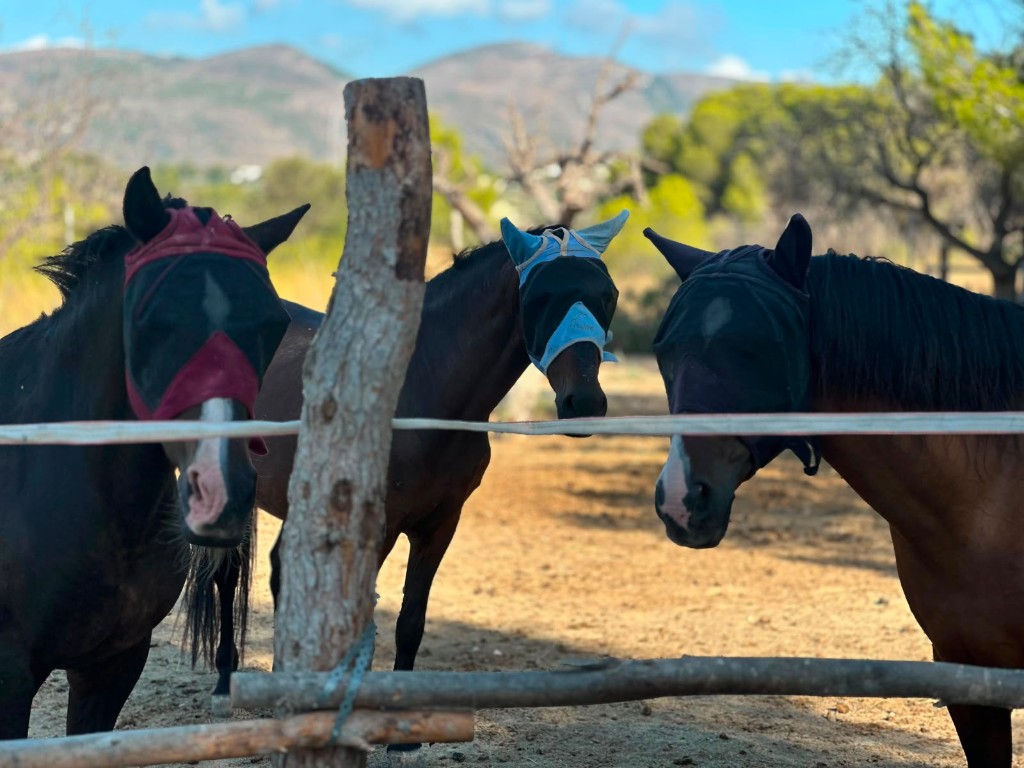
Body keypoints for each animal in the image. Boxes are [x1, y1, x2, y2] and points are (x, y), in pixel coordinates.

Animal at [193, 212, 630, 729]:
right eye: (539, 298)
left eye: (608, 294)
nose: (584, 402)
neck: (420, 388)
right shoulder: (376, 527)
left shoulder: (440, 526)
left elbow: (410, 622)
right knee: (228, 575)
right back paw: (226, 686)